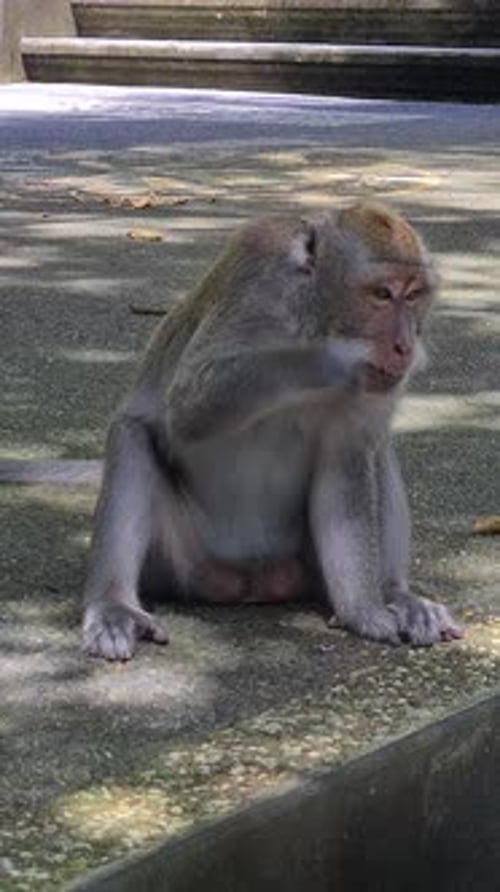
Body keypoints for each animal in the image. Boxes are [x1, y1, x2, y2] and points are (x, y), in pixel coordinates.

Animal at [82, 201, 462, 661]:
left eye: (414, 294)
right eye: (382, 294)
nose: (405, 344)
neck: (313, 315)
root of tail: (253, 581)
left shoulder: (380, 388)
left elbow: (347, 464)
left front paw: (363, 612)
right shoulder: (260, 273)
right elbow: (190, 405)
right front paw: (340, 358)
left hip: (305, 566)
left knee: (378, 448)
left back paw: (396, 595)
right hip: (177, 560)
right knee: (131, 436)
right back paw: (113, 605)